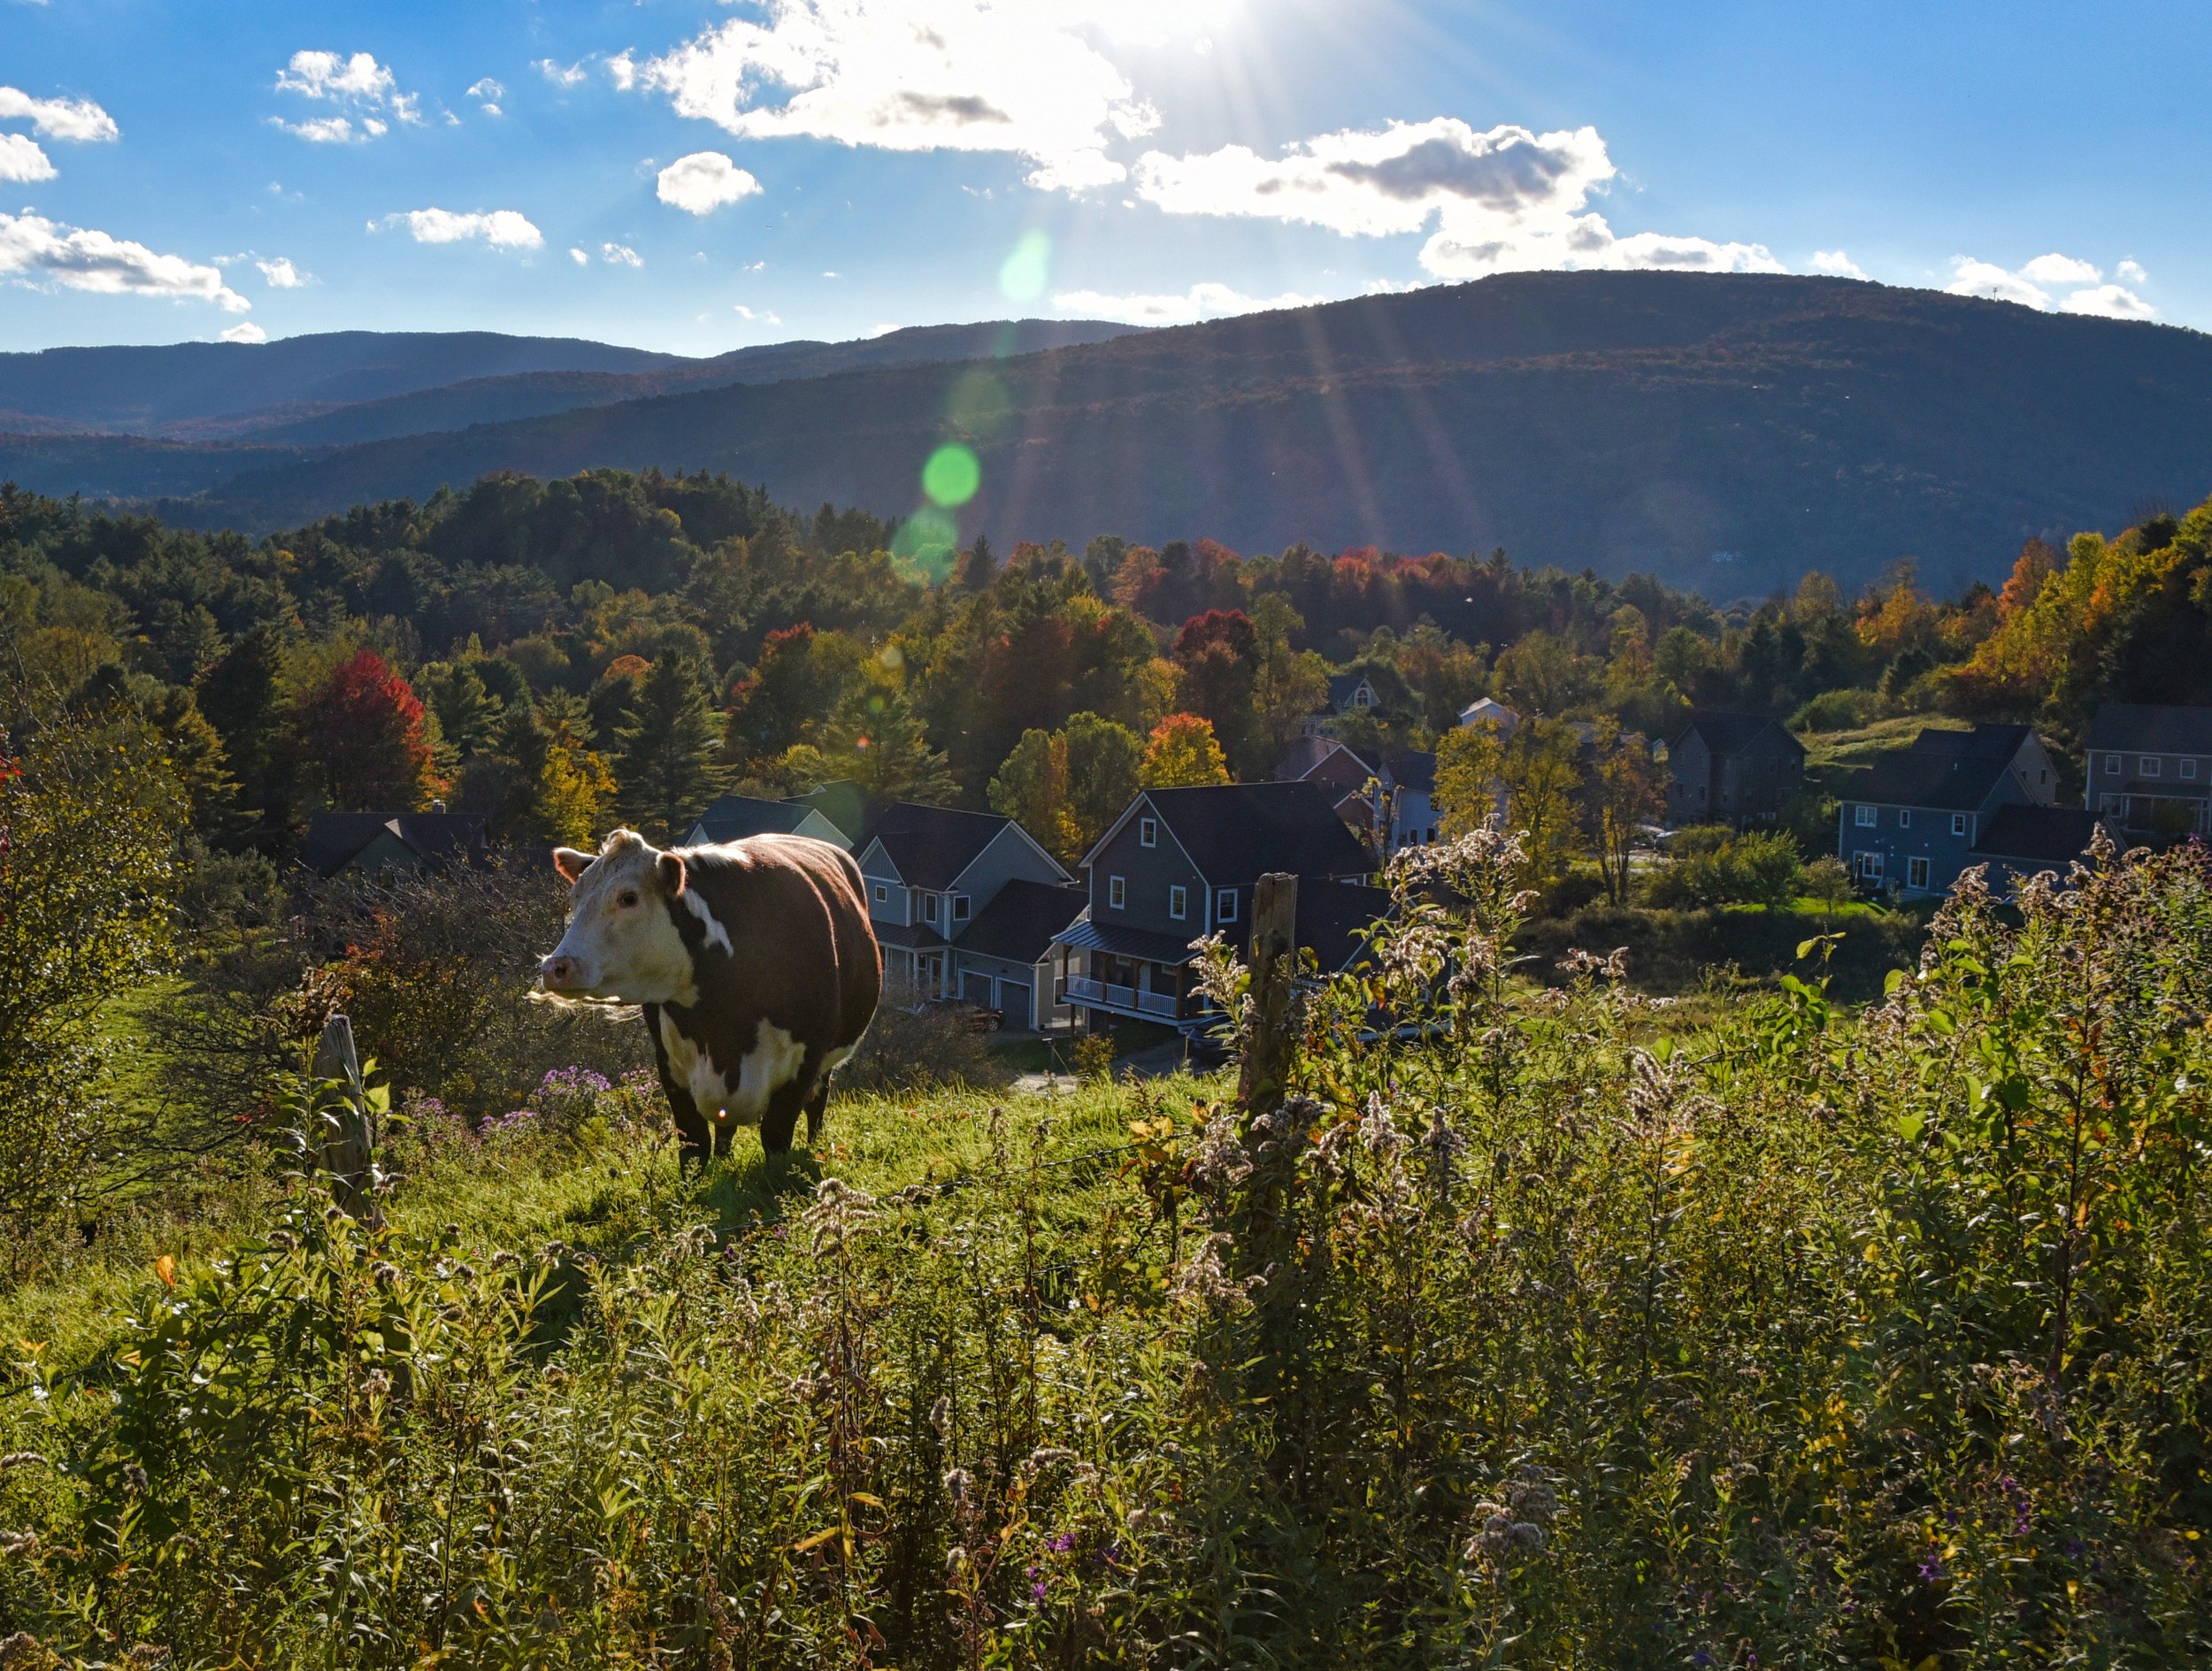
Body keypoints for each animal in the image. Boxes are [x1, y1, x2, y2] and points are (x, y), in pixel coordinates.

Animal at [537, 826, 880, 1158]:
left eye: (629, 898)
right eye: (575, 897)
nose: (555, 967)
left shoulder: (806, 1062)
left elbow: (776, 1137)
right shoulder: (670, 1067)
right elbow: (695, 1145)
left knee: (817, 1103)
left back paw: (815, 1146)